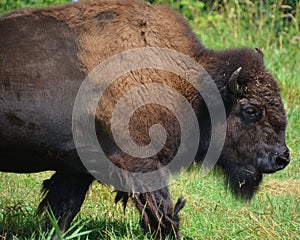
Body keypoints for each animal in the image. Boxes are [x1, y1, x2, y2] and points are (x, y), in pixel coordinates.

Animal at [0, 0, 290, 239]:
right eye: (250, 110)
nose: (282, 158)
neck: (192, 88)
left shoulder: (76, 170)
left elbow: (62, 211)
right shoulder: (142, 165)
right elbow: (164, 213)